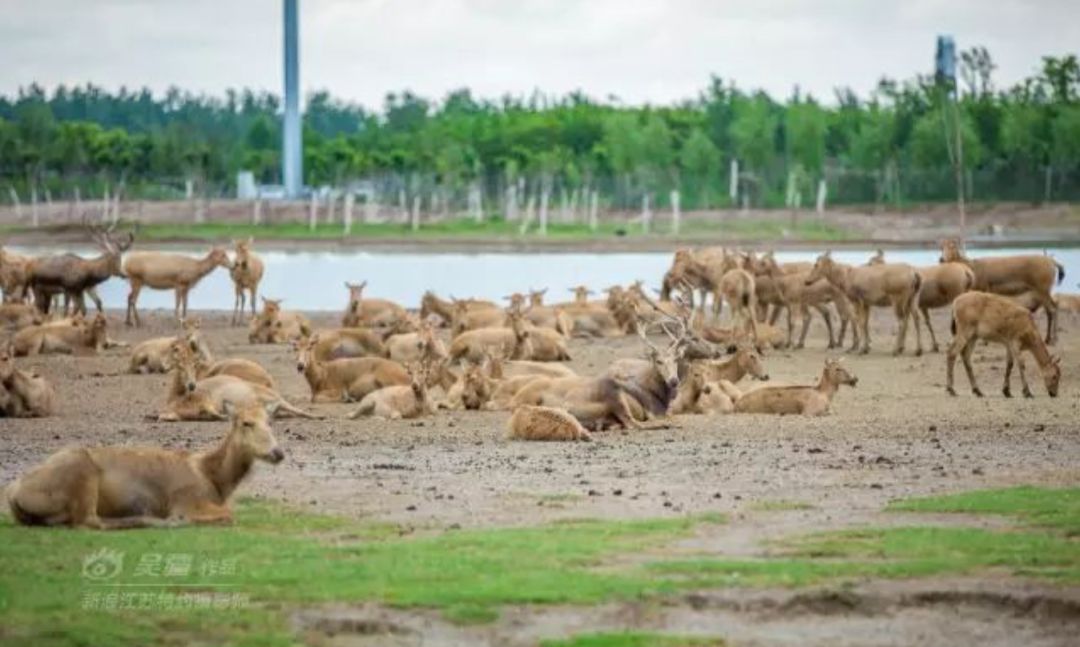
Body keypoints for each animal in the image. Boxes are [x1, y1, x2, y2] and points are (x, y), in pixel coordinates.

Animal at [6, 399, 282, 531]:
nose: (278, 452)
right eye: (246, 423)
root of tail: (14, 494)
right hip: (82, 474)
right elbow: (229, 515)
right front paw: (179, 519)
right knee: (89, 521)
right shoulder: (186, 500)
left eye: (269, 421)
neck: (214, 481)